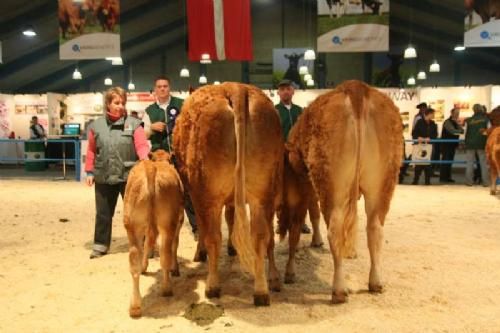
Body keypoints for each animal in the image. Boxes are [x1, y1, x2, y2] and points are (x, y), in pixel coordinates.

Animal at [123, 149, 185, 316]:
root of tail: (151, 168)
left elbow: (147, 245)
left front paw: (145, 267)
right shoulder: (179, 220)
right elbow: (175, 245)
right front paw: (175, 268)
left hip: (132, 225)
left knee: (134, 261)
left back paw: (135, 307)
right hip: (167, 223)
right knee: (165, 254)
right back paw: (167, 289)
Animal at [173, 81, 284, 304]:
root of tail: (236, 88)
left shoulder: (195, 195)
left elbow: (203, 228)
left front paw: (201, 252)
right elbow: (231, 217)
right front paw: (232, 247)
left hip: (208, 194)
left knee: (214, 237)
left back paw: (212, 286)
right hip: (265, 193)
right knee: (262, 236)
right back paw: (263, 289)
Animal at [282, 80, 402, 304]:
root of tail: (356, 88)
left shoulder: (305, 182)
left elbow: (303, 222)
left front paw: (291, 270)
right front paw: (350, 251)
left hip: (331, 183)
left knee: (335, 228)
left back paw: (339, 290)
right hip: (383, 182)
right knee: (375, 228)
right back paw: (375, 282)